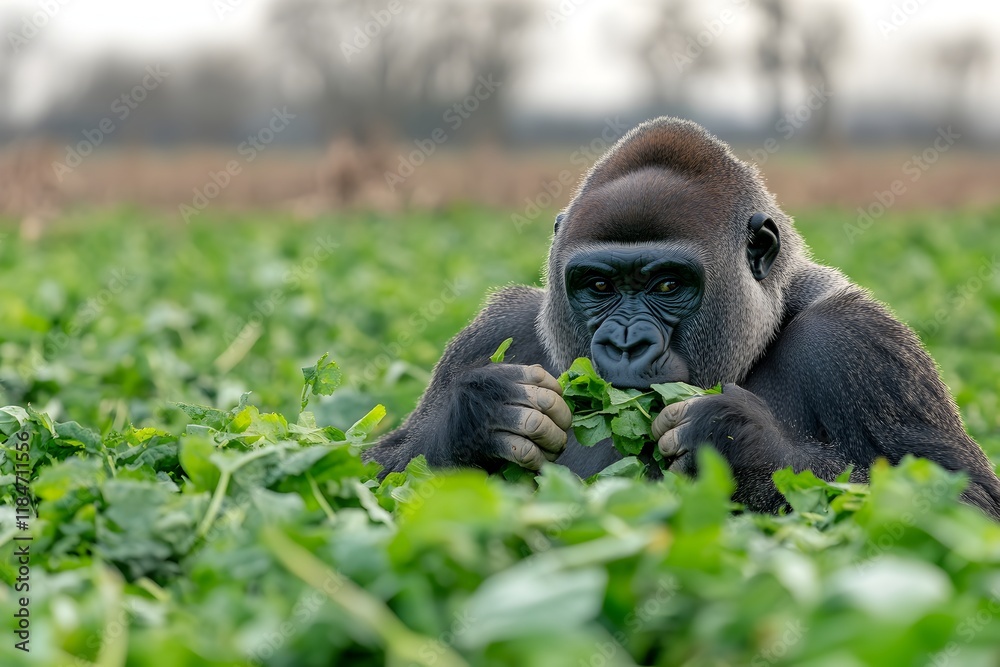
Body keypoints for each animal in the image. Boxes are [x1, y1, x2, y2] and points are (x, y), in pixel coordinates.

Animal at [366, 117, 1000, 520]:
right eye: (598, 286)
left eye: (667, 285)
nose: (625, 345)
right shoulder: (495, 332)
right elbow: (369, 471)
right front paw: (478, 418)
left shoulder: (860, 342)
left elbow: (963, 509)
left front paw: (738, 446)